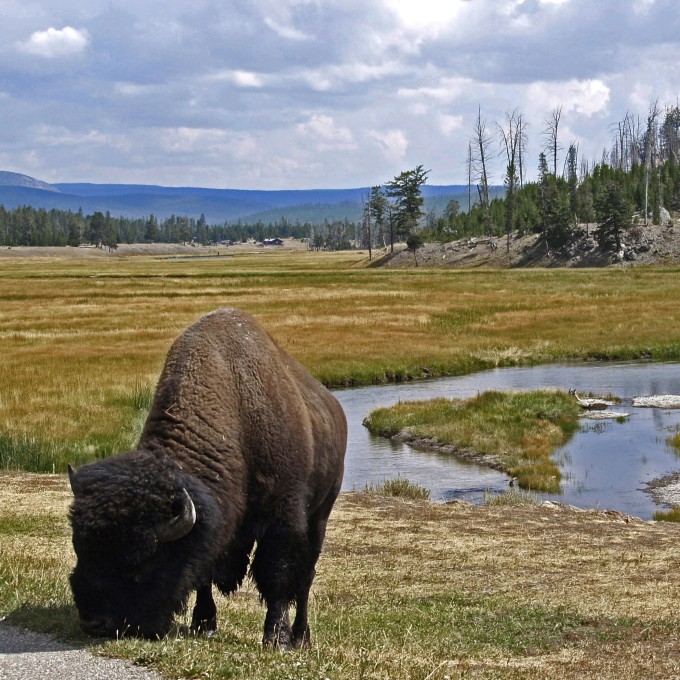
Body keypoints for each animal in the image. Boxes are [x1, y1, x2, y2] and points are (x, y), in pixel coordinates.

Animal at [67, 308, 346, 648]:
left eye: (142, 562)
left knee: (305, 579)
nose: (93, 622)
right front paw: (204, 623)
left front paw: (275, 638)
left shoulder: (282, 516)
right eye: (79, 548)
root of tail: (335, 408)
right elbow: (204, 573)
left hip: (320, 515)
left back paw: (300, 638)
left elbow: (276, 574)